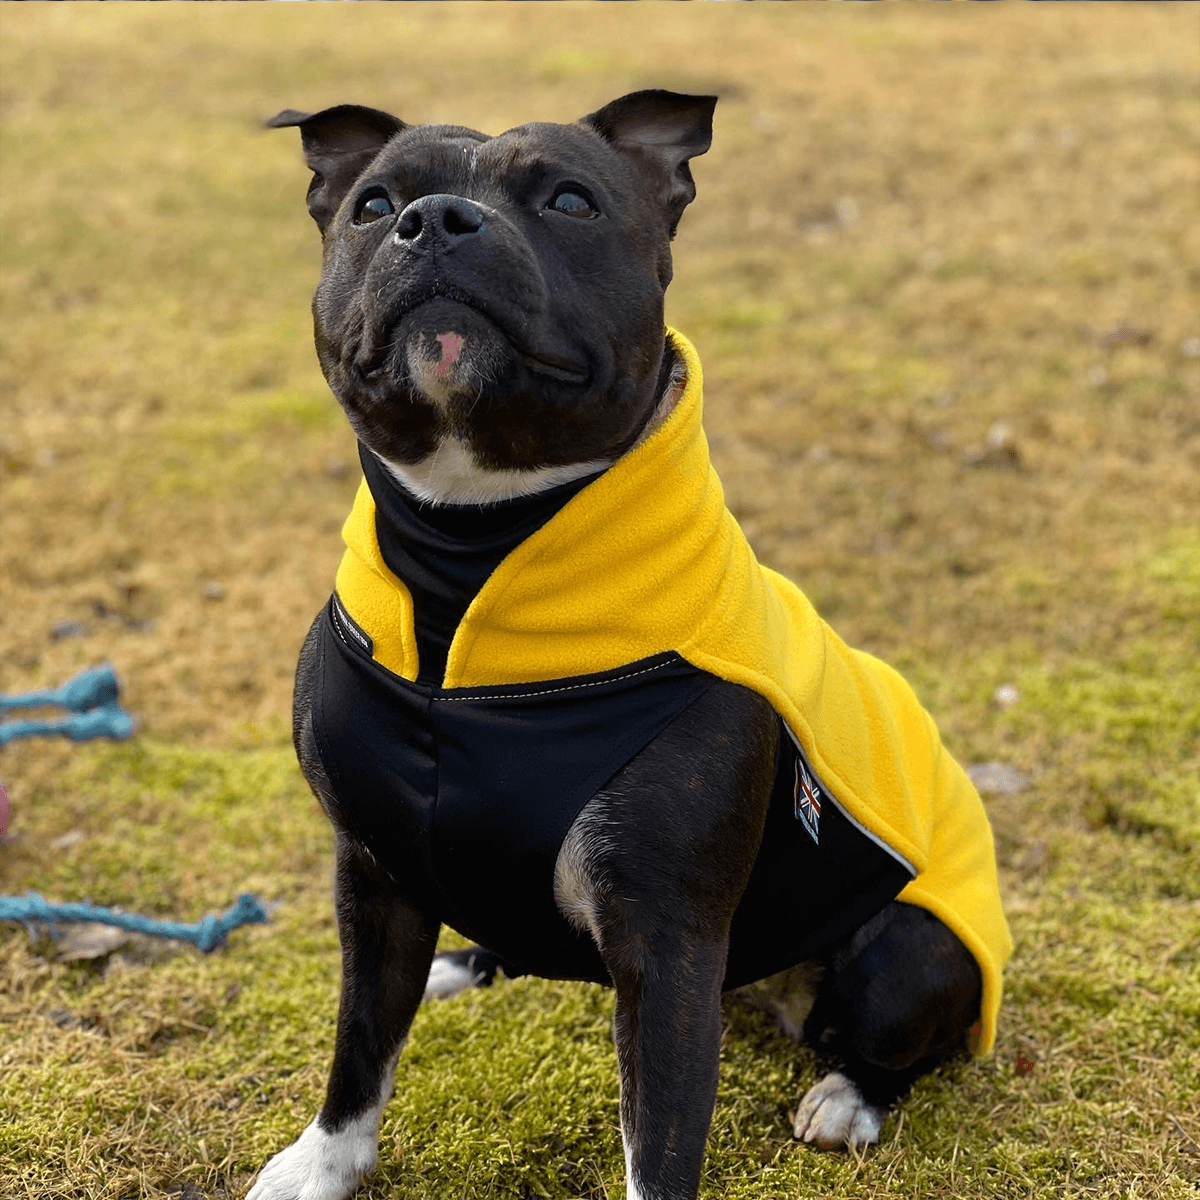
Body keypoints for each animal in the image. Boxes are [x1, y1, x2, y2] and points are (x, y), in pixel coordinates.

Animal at [253, 91, 1012, 1200]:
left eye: (572, 201)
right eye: (374, 204)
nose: (435, 222)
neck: (472, 555)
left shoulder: (668, 942)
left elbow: (657, 1141)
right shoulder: (373, 870)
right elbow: (360, 1036)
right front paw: (324, 1160)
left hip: (915, 946)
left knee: (890, 1036)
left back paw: (848, 1097)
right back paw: (465, 964)